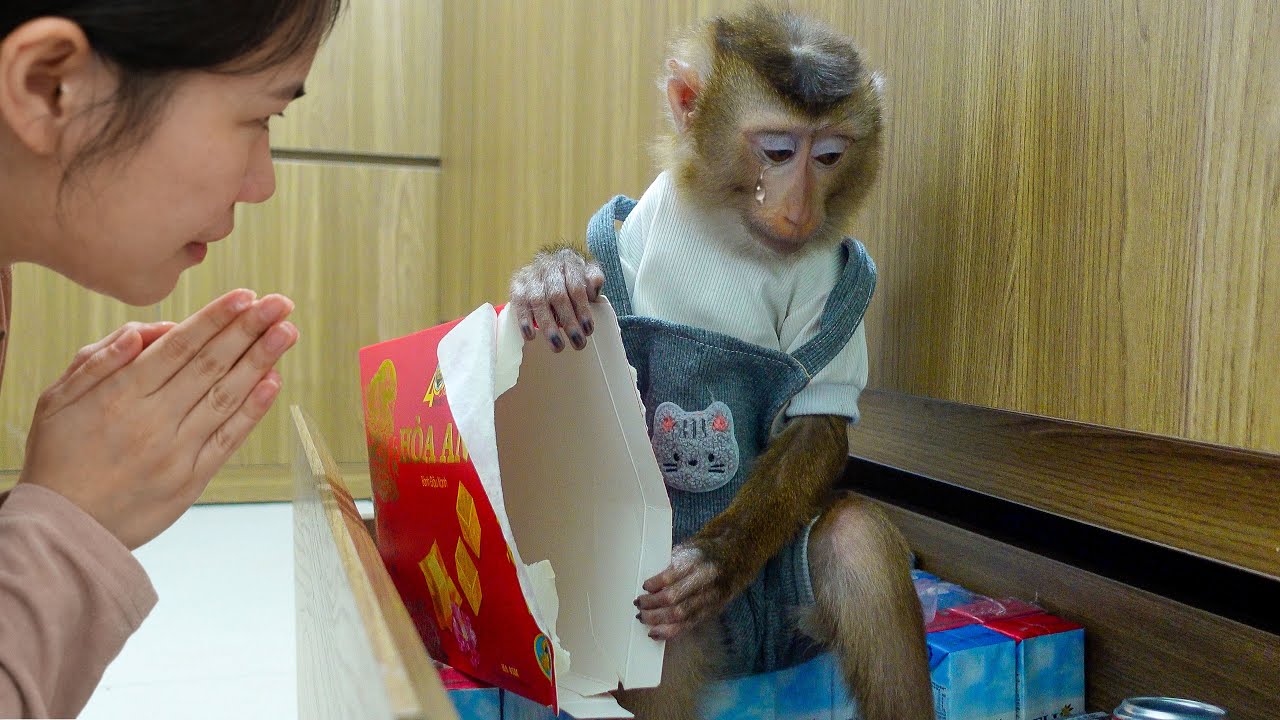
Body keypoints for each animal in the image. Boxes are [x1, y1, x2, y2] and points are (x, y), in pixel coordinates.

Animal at [508, 6, 932, 720]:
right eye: (779, 151)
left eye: (830, 155)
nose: (799, 206)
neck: (732, 232)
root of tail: (753, 662)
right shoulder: (634, 238)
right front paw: (554, 275)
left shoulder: (834, 275)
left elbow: (818, 423)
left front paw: (713, 560)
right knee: (663, 650)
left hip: (791, 611)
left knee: (857, 544)